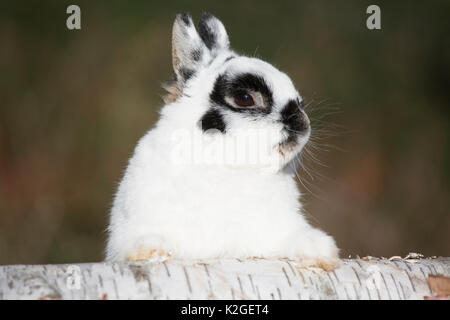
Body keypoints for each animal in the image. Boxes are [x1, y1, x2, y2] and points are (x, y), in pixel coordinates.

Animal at [104, 11, 338, 270]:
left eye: (298, 100)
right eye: (245, 98)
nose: (302, 122)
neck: (225, 166)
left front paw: (319, 252)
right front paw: (151, 251)